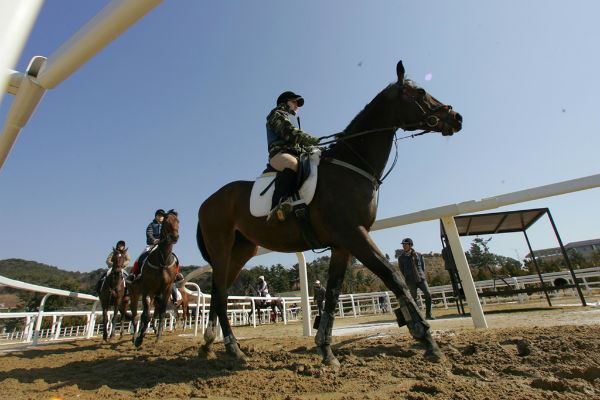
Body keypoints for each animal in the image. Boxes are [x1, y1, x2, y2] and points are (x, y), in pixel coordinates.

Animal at [130, 209, 179, 346]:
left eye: (178, 221)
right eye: (166, 221)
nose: (174, 237)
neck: (162, 260)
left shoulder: (166, 289)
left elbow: (161, 313)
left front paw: (158, 337)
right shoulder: (148, 289)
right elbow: (146, 315)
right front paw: (139, 339)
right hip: (135, 294)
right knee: (136, 316)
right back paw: (135, 337)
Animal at [195, 61, 462, 366]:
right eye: (420, 92)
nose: (456, 117)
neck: (351, 165)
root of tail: (207, 202)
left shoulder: (342, 245)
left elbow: (333, 294)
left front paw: (326, 350)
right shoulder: (354, 234)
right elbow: (393, 277)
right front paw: (427, 339)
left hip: (240, 251)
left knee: (220, 292)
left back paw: (211, 344)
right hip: (222, 248)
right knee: (219, 296)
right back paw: (233, 349)